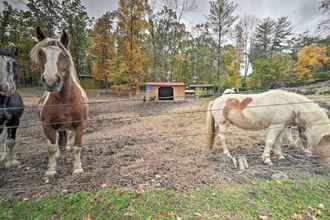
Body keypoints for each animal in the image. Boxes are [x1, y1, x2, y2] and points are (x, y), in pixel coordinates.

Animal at [30, 27, 87, 177]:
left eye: (64, 55)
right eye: (41, 53)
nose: (51, 81)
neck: (64, 100)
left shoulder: (80, 124)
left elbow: (77, 147)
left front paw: (77, 168)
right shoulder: (47, 125)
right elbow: (51, 148)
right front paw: (51, 170)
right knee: (56, 143)